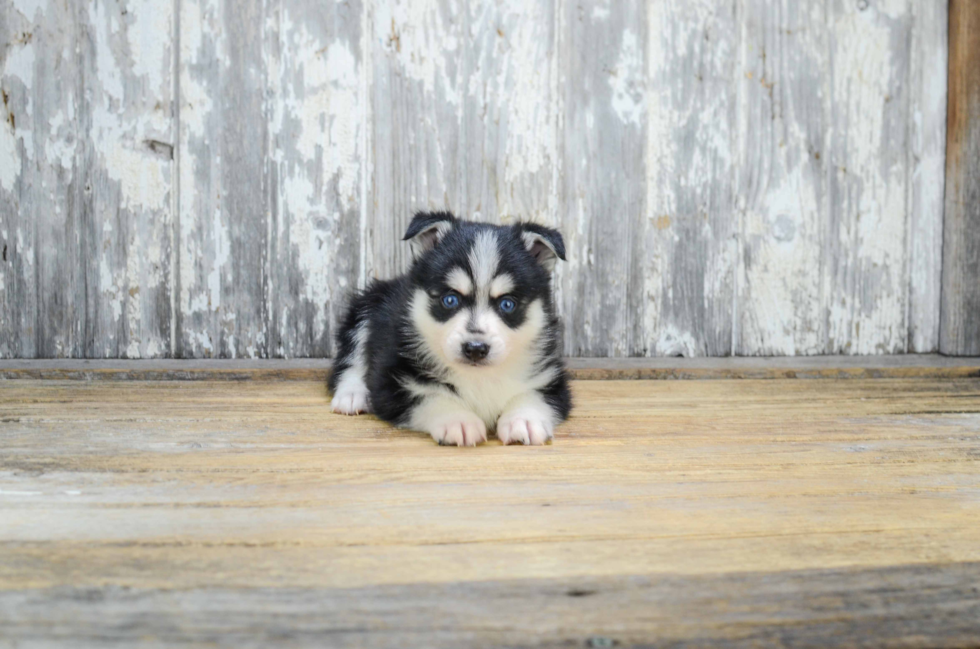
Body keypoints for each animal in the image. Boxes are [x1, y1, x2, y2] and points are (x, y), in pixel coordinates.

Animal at [332, 213, 576, 446]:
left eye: (507, 304)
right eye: (450, 300)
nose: (475, 348)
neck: (478, 378)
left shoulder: (550, 380)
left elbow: (532, 395)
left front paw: (523, 419)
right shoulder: (391, 381)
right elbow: (433, 396)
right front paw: (458, 420)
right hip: (368, 306)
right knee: (351, 359)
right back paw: (352, 394)